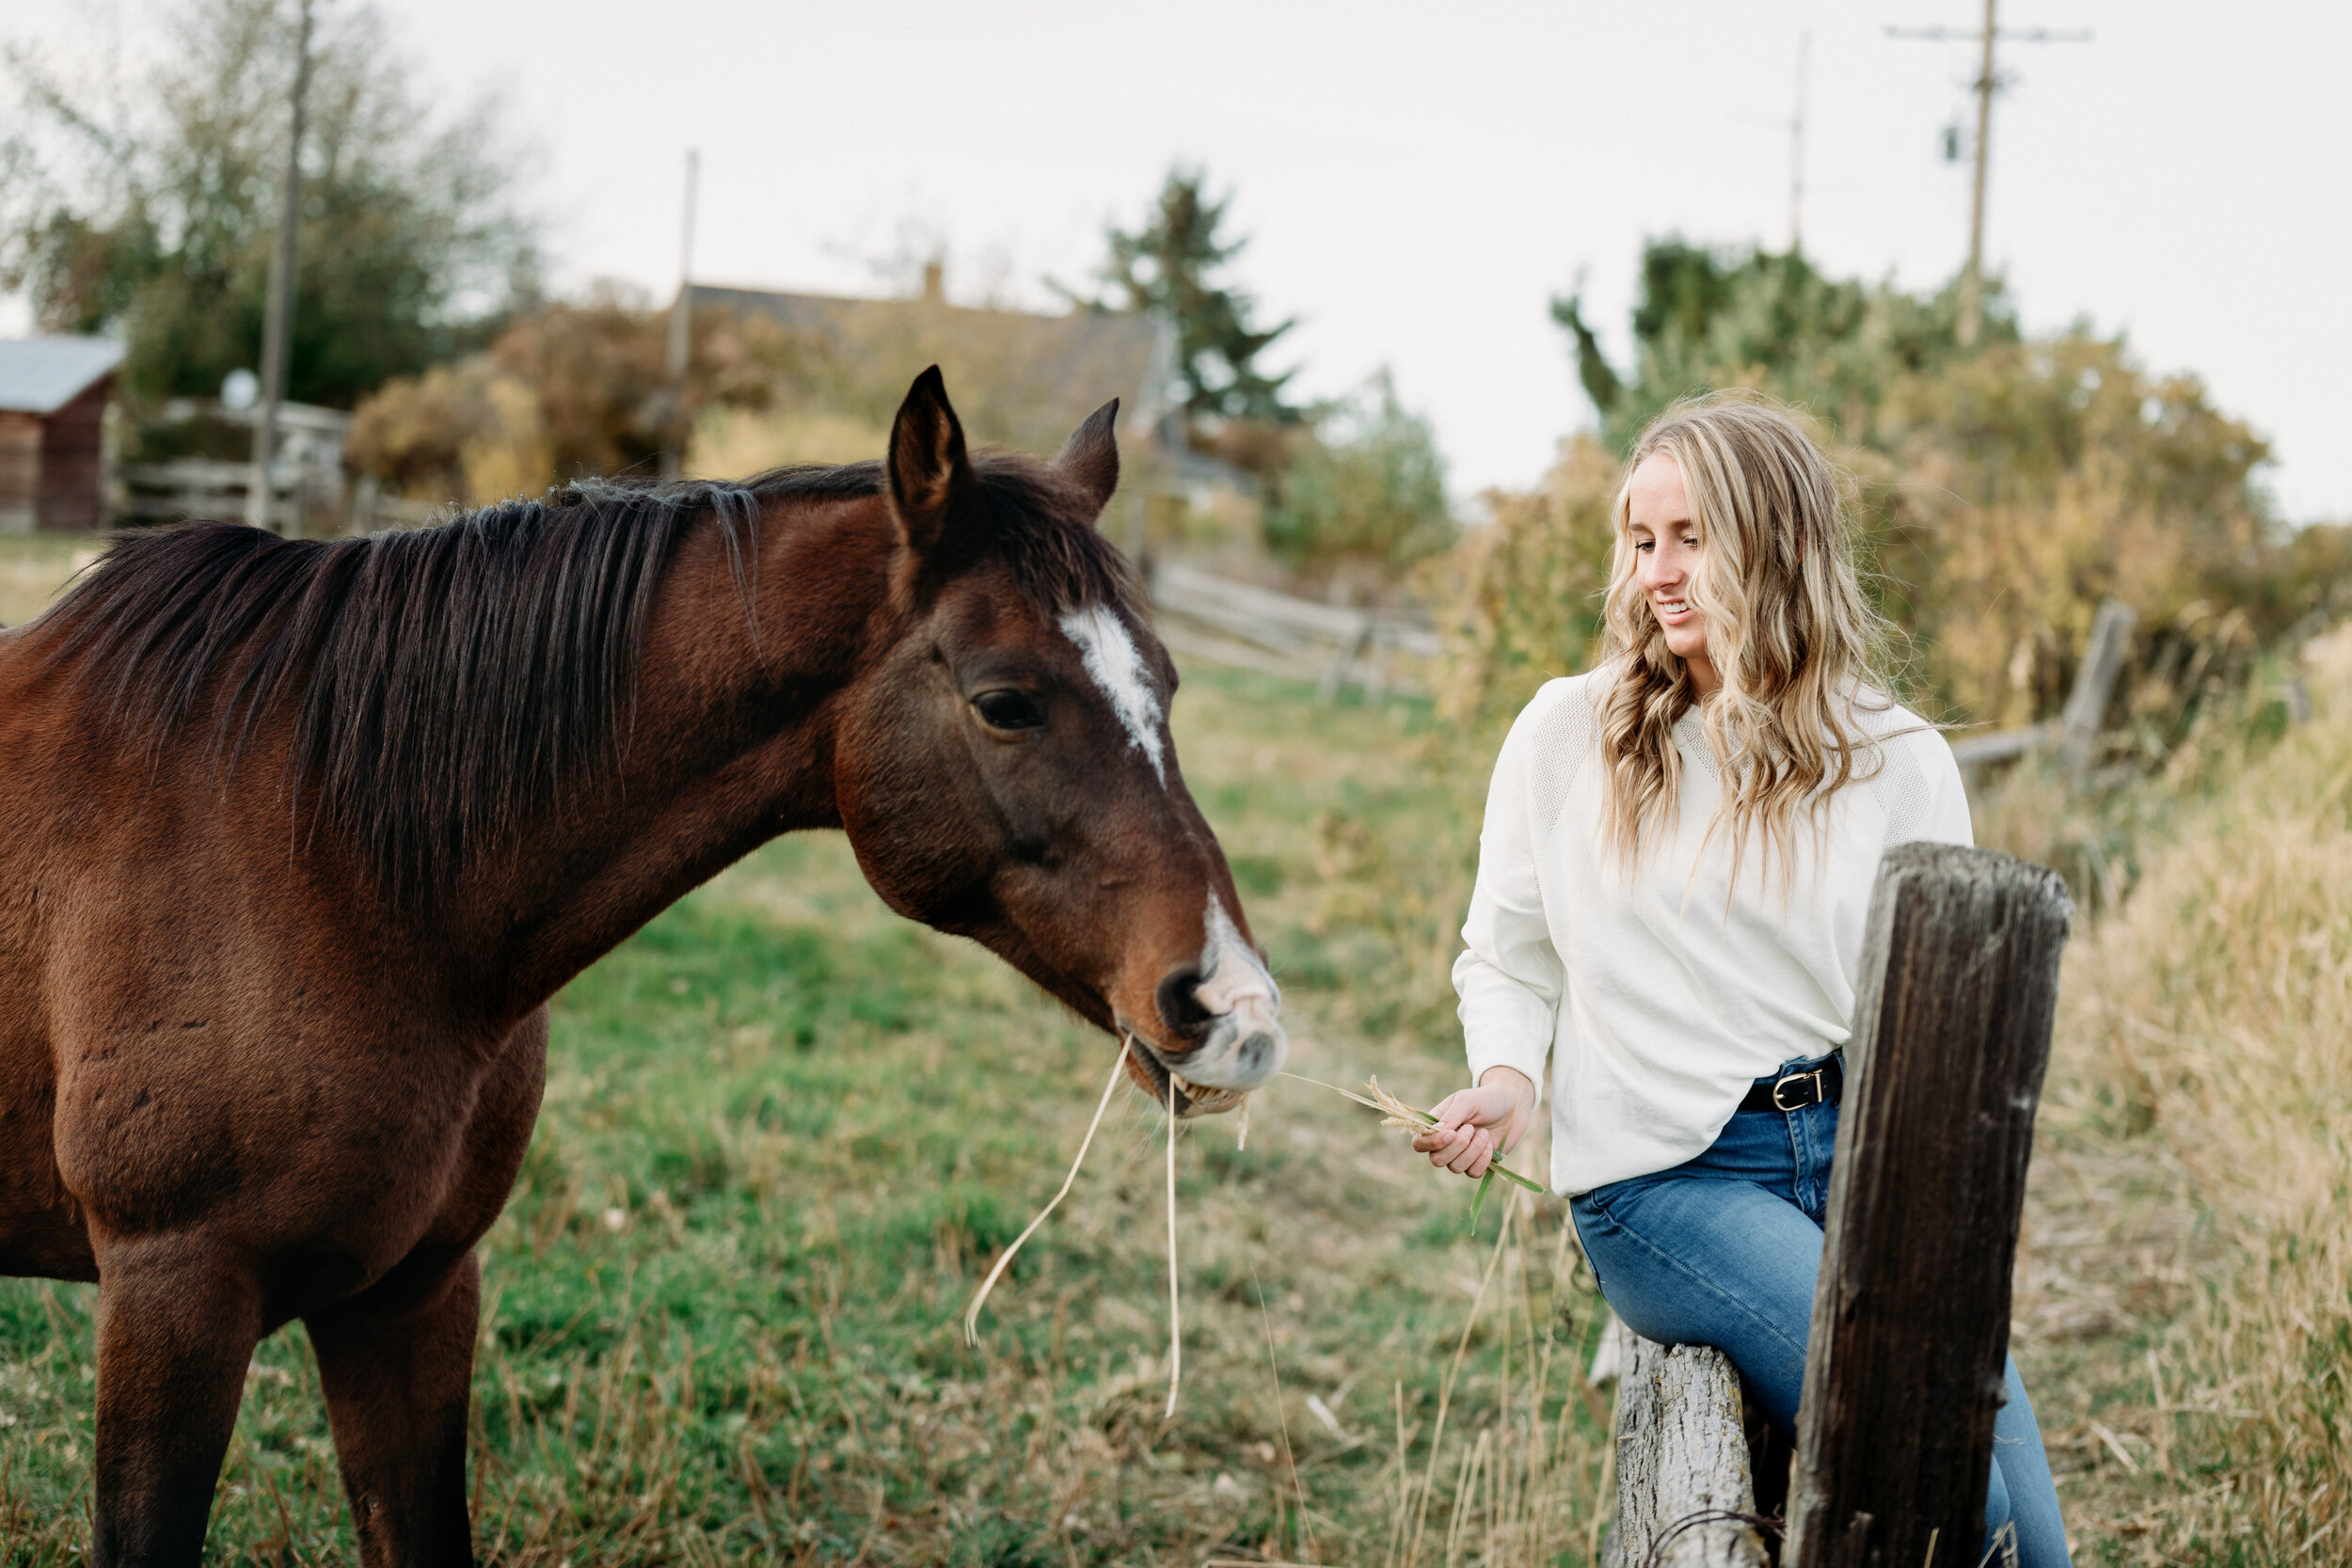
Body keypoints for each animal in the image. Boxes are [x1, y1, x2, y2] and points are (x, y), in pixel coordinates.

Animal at [0, 371, 1289, 1568]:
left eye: (1168, 684)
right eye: (1006, 701)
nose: (1238, 1012)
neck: (329, 859)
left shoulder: (413, 1288)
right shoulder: (174, 1295)